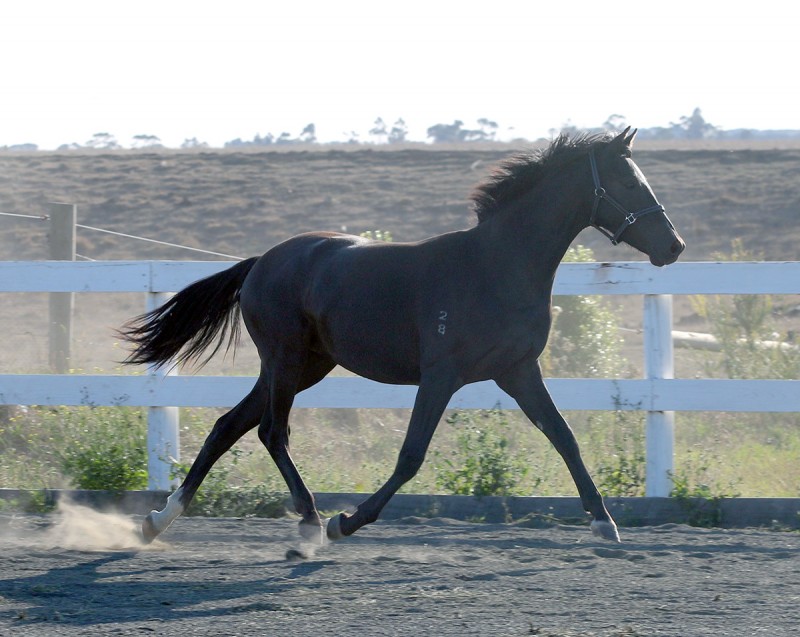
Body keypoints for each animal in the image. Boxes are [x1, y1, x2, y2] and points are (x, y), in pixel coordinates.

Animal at [120, 127, 684, 547]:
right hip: (285, 360)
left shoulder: (517, 370)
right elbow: (410, 456)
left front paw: (604, 522)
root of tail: (261, 263)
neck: (496, 266)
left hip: (305, 366)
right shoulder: (441, 375)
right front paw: (346, 521)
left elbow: (563, 435)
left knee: (228, 426)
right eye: (627, 182)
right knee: (270, 432)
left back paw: (158, 520)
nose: (674, 247)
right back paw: (310, 520)